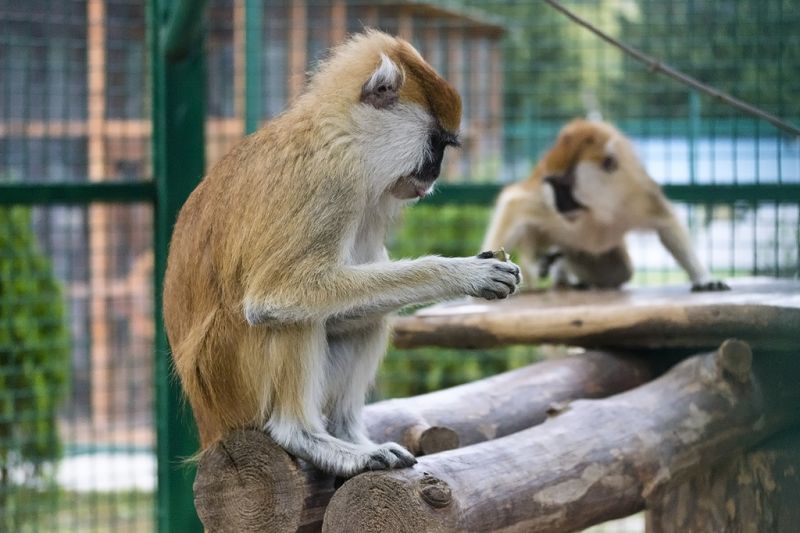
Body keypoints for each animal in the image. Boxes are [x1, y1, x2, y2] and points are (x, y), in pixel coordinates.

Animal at [164, 31, 524, 476]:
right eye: (435, 143)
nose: (434, 174)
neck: (340, 130)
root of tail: (210, 423)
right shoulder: (333, 177)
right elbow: (277, 295)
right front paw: (464, 273)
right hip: (231, 375)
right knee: (289, 316)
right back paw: (309, 438)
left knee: (366, 316)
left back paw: (347, 433)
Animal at [482, 118, 732, 290]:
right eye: (553, 185)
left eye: (564, 187)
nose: (559, 206)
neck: (599, 207)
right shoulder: (545, 203)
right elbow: (514, 202)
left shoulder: (636, 193)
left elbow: (666, 223)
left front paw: (705, 279)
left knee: (619, 272)